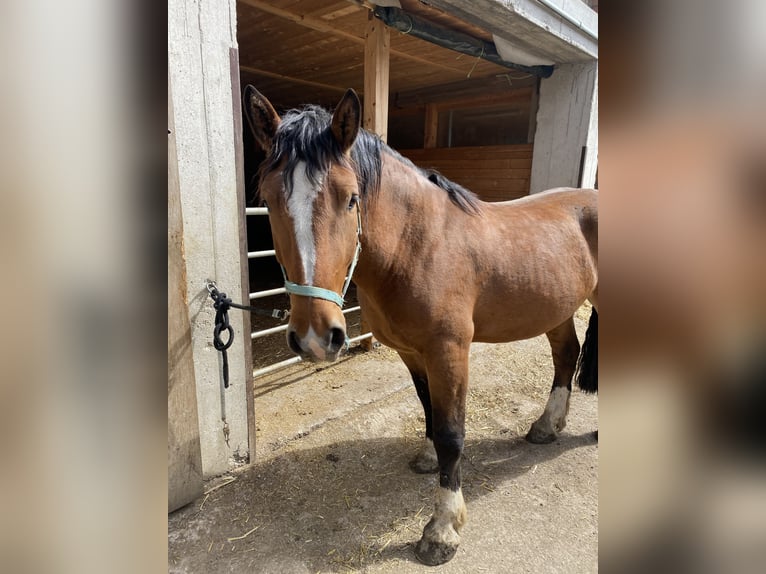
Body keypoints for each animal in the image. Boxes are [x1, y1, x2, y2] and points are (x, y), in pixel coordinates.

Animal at [246, 86, 600, 568]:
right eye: (267, 199)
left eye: (351, 198)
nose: (316, 337)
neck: (417, 246)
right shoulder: (412, 352)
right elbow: (429, 409)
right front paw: (428, 459)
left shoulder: (449, 350)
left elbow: (452, 432)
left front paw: (442, 530)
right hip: (557, 309)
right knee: (566, 355)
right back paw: (547, 426)